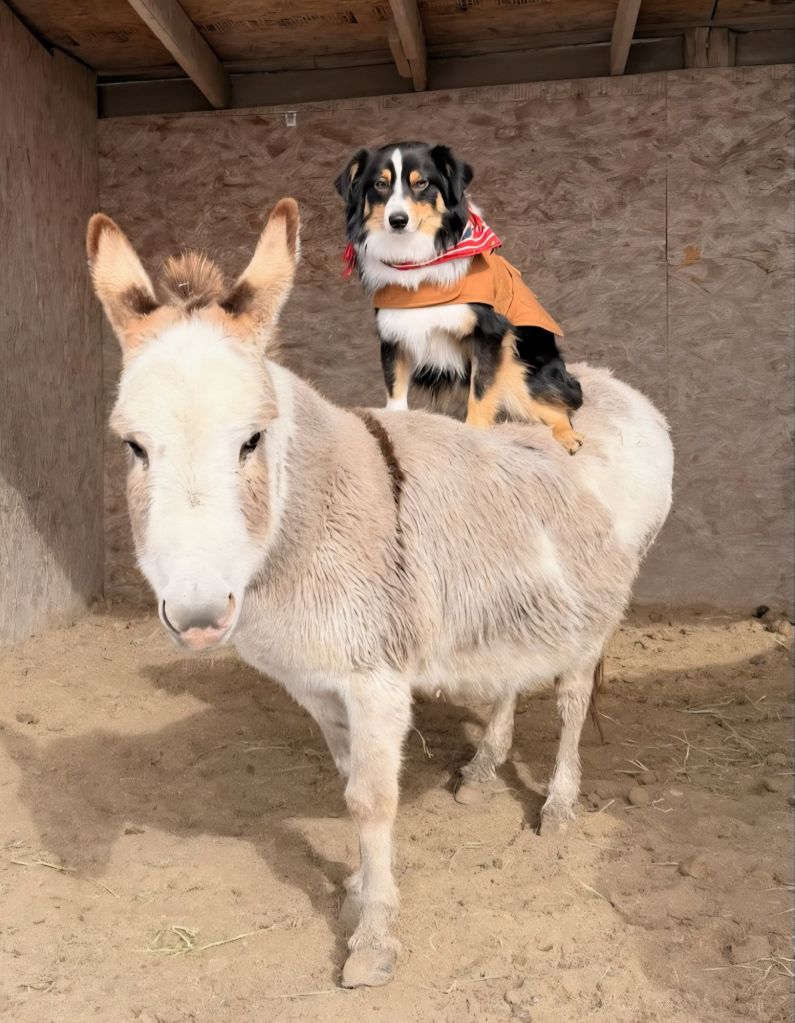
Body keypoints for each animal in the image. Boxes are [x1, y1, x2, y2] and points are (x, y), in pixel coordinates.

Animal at [335, 141, 584, 453]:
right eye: (380, 184)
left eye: (422, 183)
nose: (397, 220)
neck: (418, 266)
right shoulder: (394, 336)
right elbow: (395, 394)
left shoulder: (489, 335)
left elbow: (480, 395)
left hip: (519, 370)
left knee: (561, 406)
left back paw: (569, 437)